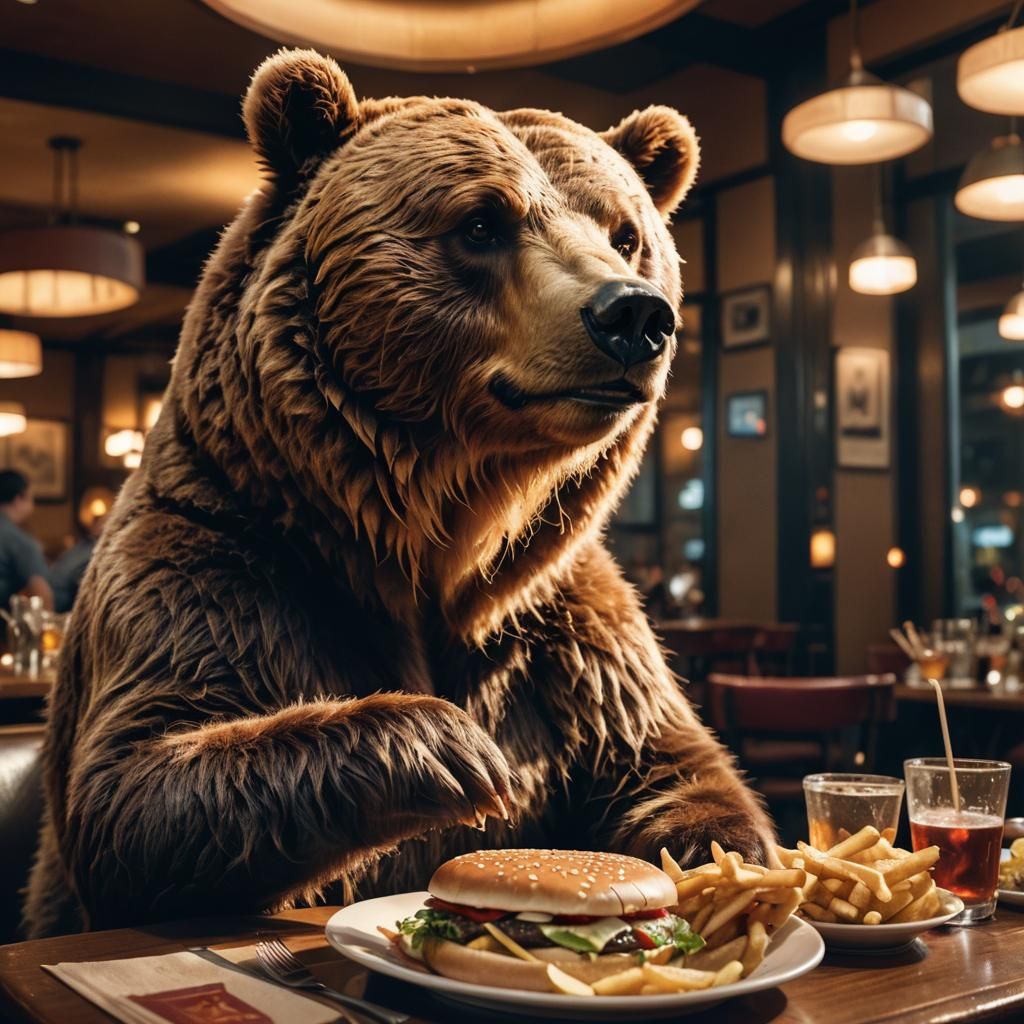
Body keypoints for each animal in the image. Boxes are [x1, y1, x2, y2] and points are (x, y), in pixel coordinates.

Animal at [25, 49, 773, 938]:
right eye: (482, 221)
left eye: (627, 234)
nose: (633, 315)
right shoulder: (216, 569)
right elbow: (134, 786)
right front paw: (451, 742)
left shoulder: (565, 623)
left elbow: (671, 760)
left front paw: (727, 868)